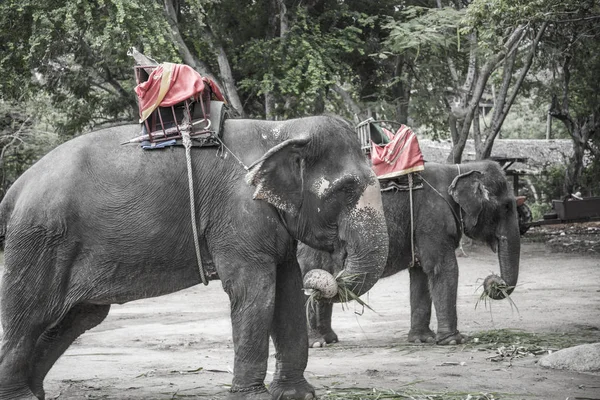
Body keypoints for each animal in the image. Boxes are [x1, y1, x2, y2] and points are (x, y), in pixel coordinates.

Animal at [0, 115, 390, 400]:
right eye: (346, 189)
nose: (325, 278)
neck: (282, 129)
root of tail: (14, 190)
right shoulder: (238, 215)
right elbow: (255, 293)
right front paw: (253, 397)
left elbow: (288, 291)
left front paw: (299, 395)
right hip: (41, 240)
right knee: (30, 315)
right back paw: (20, 397)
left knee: (77, 318)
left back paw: (36, 393)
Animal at [300, 159, 520, 346]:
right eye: (507, 206)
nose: (495, 281)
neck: (459, 169)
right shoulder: (433, 220)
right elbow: (442, 268)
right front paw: (454, 341)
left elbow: (421, 273)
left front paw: (422, 339)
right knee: (314, 273)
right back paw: (317, 342)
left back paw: (329, 340)